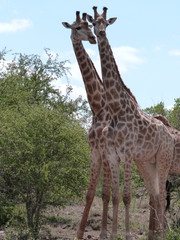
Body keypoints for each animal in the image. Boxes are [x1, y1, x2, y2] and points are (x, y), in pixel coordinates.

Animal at [87, 6, 174, 239]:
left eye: (106, 23)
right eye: (93, 23)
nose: (100, 33)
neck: (117, 109)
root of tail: (170, 135)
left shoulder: (126, 154)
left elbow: (126, 196)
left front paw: (125, 234)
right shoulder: (113, 154)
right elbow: (115, 195)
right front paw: (112, 234)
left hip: (164, 159)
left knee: (160, 196)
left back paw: (163, 234)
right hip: (148, 162)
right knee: (155, 195)